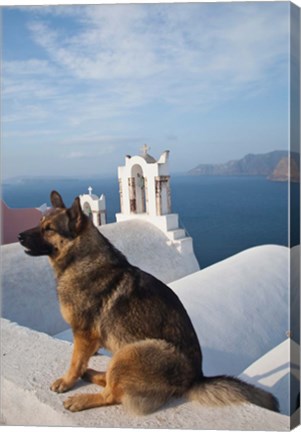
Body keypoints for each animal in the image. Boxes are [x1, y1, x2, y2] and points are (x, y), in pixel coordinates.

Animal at [18, 192, 278, 416]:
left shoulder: (83, 335)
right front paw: (79, 373)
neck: (81, 258)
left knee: (112, 394)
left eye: (49, 229)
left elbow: (75, 362)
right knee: (112, 381)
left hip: (131, 351)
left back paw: (82, 398)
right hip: (122, 352)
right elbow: (82, 361)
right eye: (40, 222)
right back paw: (92, 374)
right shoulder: (91, 339)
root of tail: (193, 379)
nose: (19, 236)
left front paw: (66, 381)